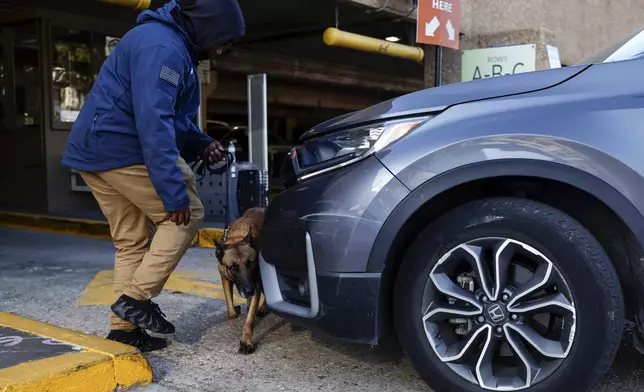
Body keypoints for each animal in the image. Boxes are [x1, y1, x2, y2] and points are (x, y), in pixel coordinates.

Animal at [215, 207, 268, 354]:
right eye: (233, 267)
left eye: (251, 263)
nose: (249, 291)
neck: (237, 238)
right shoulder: (225, 279)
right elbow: (231, 312)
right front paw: (236, 310)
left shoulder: (256, 284)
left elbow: (249, 319)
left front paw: (246, 341)